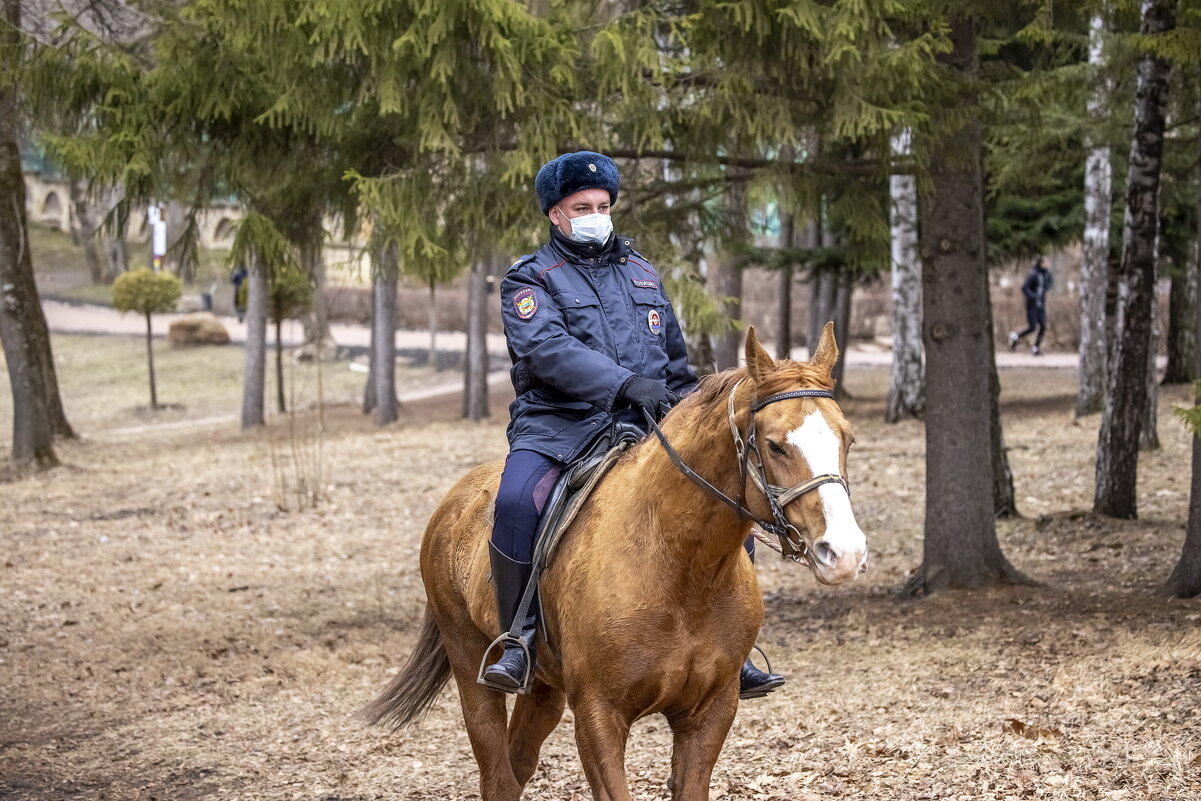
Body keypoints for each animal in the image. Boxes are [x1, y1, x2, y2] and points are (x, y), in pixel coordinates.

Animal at [360, 326, 869, 801]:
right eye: (776, 445)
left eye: (848, 438)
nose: (844, 553)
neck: (678, 568)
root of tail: (454, 501)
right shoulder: (599, 715)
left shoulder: (710, 713)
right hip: (471, 667)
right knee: (497, 775)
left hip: (544, 689)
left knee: (517, 765)